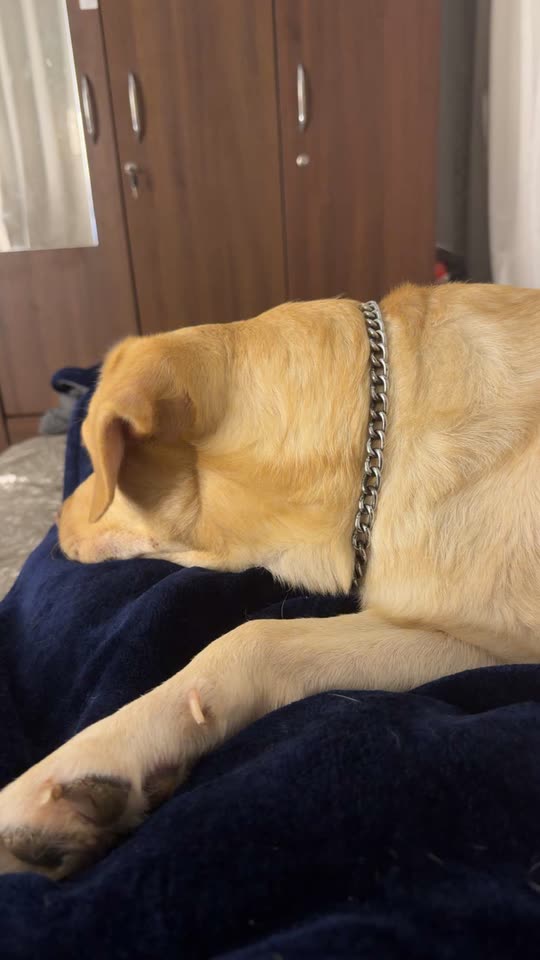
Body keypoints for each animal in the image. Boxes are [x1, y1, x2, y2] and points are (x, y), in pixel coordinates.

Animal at [0, 282, 538, 878]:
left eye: (98, 464)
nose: (54, 523)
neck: (382, 430)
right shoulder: (467, 637)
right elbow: (262, 640)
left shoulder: (496, 642)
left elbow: (249, 634)